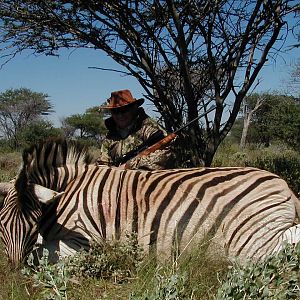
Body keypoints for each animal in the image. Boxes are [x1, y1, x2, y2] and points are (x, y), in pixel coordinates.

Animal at [0, 138, 300, 264]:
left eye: (32, 224)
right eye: (1, 226)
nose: (13, 270)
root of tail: (283, 185)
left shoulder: (86, 240)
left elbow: (43, 255)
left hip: (249, 242)